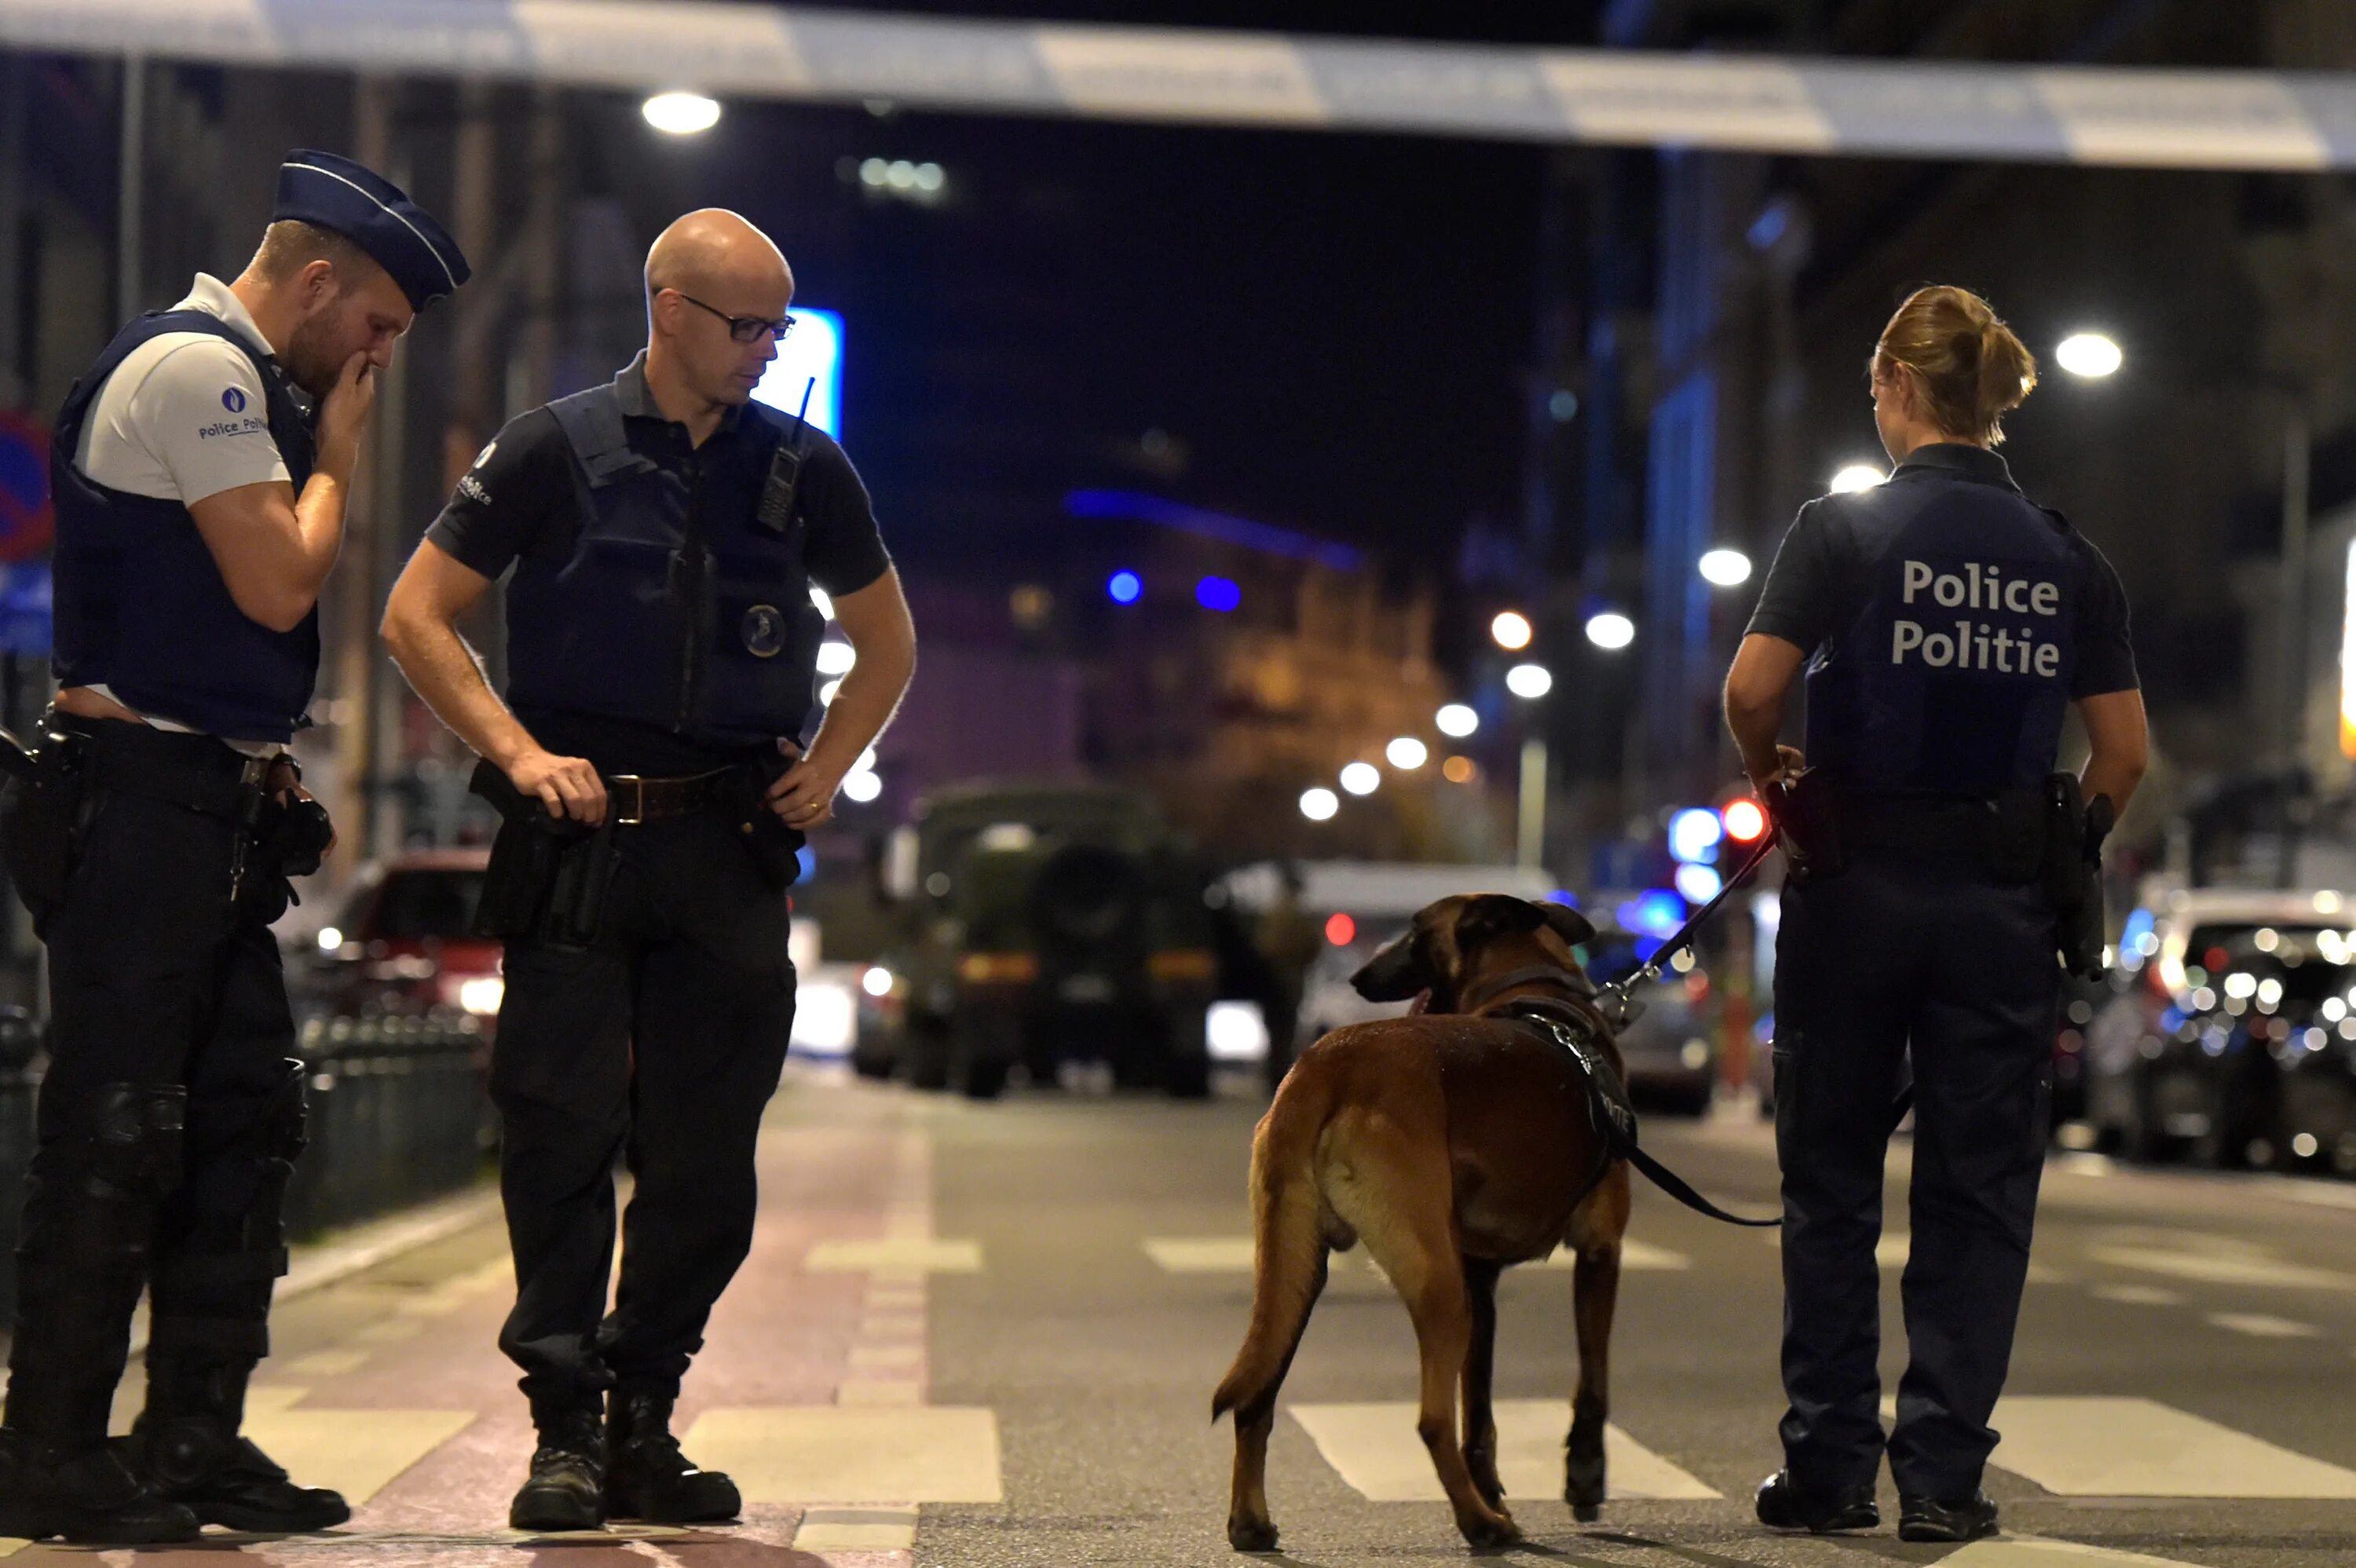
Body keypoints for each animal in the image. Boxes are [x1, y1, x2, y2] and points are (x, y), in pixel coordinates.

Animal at [1206, 885, 1630, 1544]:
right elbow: (1591, 1381)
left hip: (1298, 1272)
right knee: (1431, 1421)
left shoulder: (1482, 1283)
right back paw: (1479, 1524)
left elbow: (1480, 1416)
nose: (1357, 975)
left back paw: (1251, 1522)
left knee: (1257, 1397)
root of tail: (1324, 1061)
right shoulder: (1599, 1252)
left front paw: (1497, 1487)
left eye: (1413, 930)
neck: (1536, 989)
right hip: (1439, 1287)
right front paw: (1583, 1474)